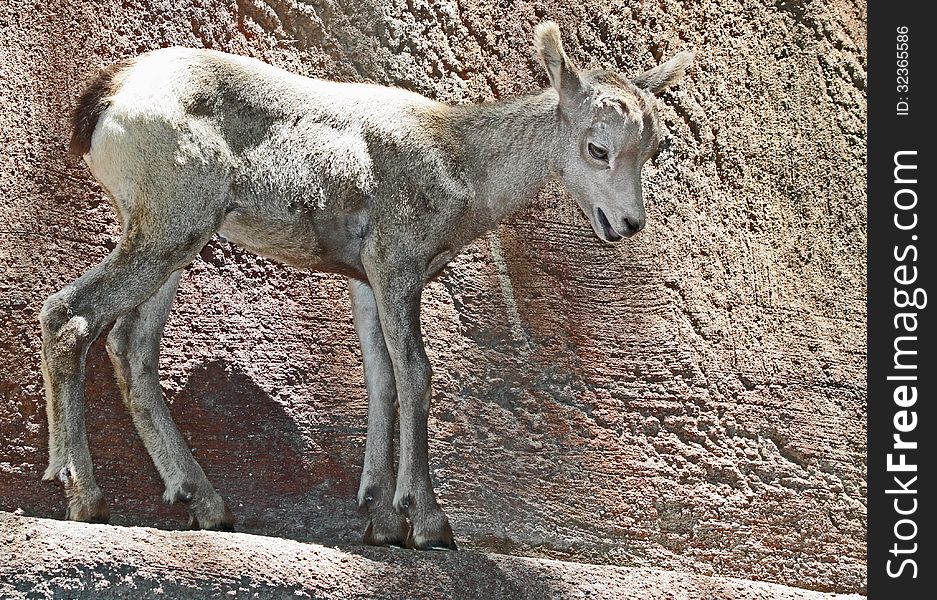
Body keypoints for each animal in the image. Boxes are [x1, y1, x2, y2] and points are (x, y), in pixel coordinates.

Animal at [40, 22, 692, 548]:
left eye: (653, 148)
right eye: (598, 148)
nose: (627, 223)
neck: (461, 162)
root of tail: (108, 99)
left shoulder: (365, 280)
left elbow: (380, 378)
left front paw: (380, 519)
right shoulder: (397, 263)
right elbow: (416, 373)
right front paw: (427, 524)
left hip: (169, 240)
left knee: (130, 349)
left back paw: (206, 505)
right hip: (169, 230)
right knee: (70, 317)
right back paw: (84, 496)